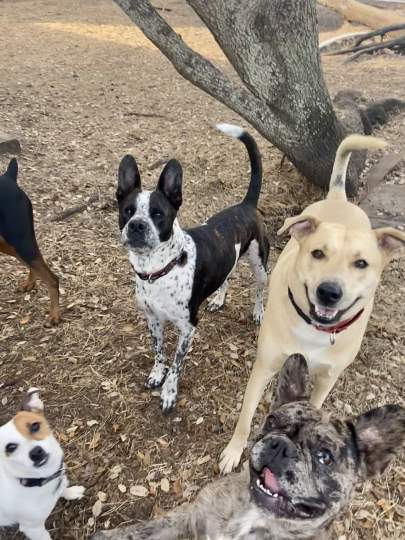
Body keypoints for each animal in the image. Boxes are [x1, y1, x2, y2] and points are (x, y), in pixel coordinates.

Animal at [117, 124, 268, 414]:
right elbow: (159, 352)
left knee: (259, 289)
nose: (137, 225)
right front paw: (157, 374)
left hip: (260, 265)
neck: (158, 270)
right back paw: (219, 299)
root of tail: (246, 204)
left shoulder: (188, 328)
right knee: (228, 275)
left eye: (158, 214)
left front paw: (169, 393)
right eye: (127, 211)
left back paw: (258, 312)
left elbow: (176, 365)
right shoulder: (153, 319)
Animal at [219, 135, 404, 472]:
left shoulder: (326, 380)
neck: (314, 329)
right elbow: (245, 417)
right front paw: (233, 452)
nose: (329, 291)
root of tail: (338, 197)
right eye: (318, 253)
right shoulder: (264, 366)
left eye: (361, 263)